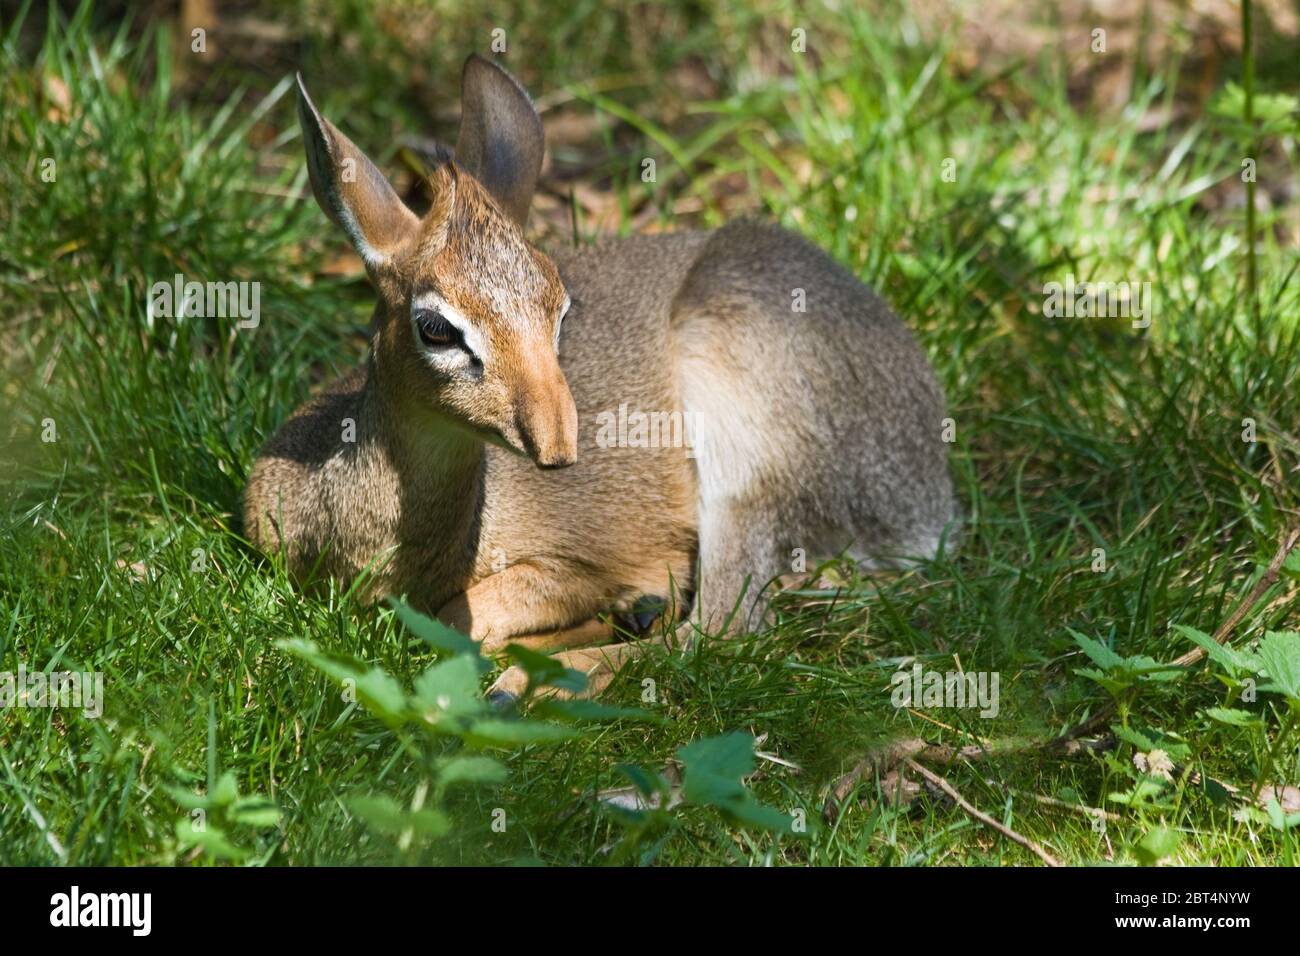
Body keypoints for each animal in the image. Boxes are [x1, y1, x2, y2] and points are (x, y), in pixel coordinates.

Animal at [244, 55, 961, 697]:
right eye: (436, 327)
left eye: (559, 307)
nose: (558, 444)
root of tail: (928, 499)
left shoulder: (593, 557)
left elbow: (466, 619)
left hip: (742, 438)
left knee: (726, 628)